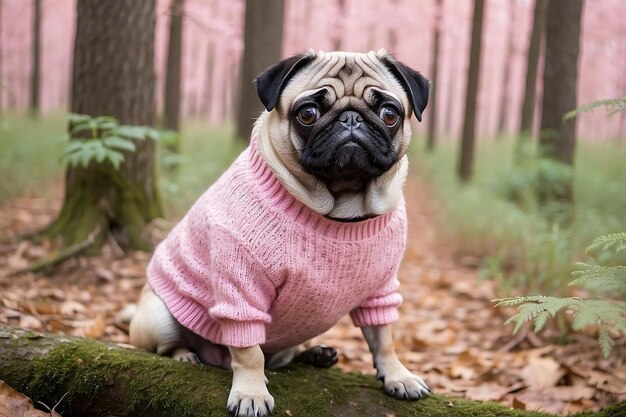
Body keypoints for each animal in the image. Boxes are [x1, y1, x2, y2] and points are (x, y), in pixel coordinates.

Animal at [128, 49, 428, 416]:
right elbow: (248, 352)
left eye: (389, 114)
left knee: (284, 357)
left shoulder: (381, 288)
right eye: (308, 114)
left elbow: (383, 337)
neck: (341, 213)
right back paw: (187, 355)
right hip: (159, 317)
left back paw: (316, 354)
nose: (351, 120)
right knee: (171, 347)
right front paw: (251, 393)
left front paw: (399, 375)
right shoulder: (241, 287)